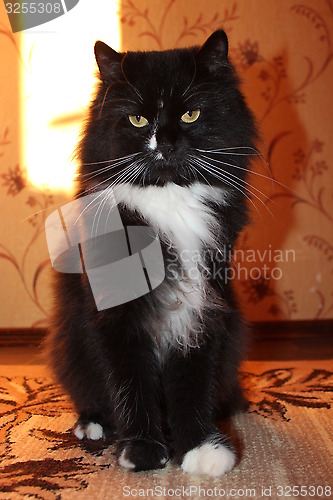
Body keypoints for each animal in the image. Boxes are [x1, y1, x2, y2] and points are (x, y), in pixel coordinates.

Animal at [48, 29, 256, 474]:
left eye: (191, 115)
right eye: (138, 119)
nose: (165, 143)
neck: (169, 200)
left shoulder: (202, 308)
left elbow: (193, 384)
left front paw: (200, 449)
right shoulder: (117, 317)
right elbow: (131, 383)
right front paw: (143, 451)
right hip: (72, 343)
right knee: (91, 393)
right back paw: (92, 427)